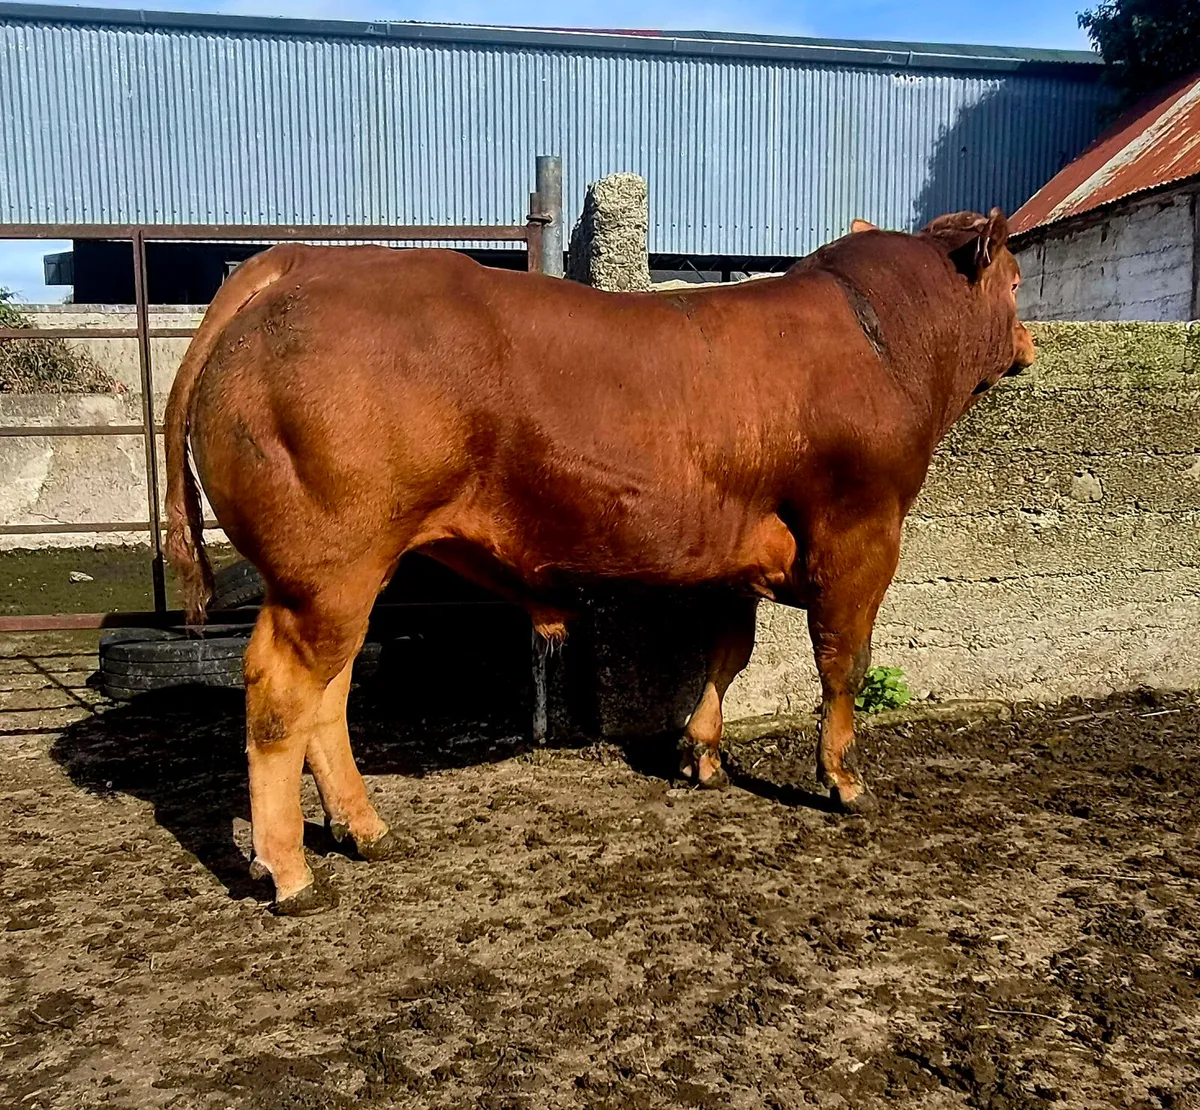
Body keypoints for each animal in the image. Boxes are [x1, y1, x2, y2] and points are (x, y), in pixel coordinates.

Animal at [163, 208, 1035, 915]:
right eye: (1019, 279)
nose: (1032, 339)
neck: (884, 339)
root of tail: (306, 259)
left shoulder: (736, 552)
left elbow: (726, 653)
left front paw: (703, 756)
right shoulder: (863, 531)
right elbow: (842, 662)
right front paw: (845, 781)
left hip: (345, 574)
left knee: (330, 694)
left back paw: (364, 829)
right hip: (326, 569)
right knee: (282, 693)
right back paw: (291, 873)